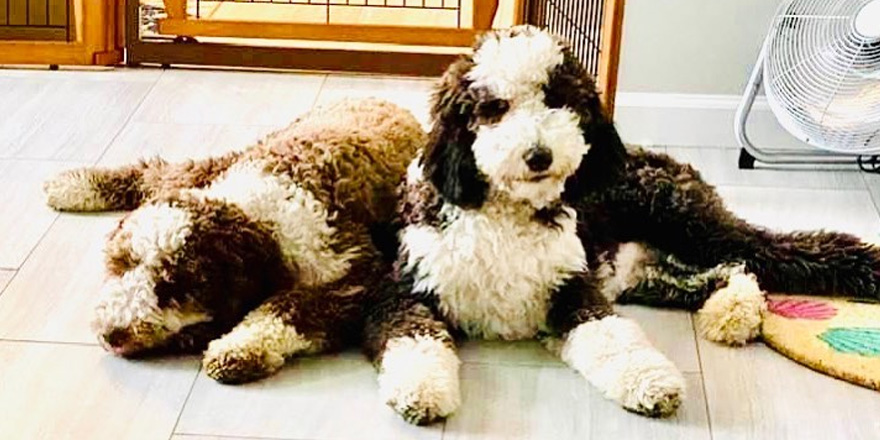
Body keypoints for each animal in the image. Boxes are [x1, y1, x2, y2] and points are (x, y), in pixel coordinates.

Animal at [43, 98, 422, 384]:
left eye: (171, 287)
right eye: (121, 264)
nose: (111, 333)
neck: (258, 210)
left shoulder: (354, 275)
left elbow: (289, 307)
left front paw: (238, 347)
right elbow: (155, 174)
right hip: (227, 160)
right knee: (159, 171)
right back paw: (73, 185)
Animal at [360, 25, 880, 424]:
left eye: (560, 100)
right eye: (494, 108)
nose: (539, 155)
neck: (506, 213)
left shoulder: (573, 286)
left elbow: (612, 337)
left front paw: (651, 380)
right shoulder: (404, 290)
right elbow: (414, 336)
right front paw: (421, 391)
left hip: (692, 225)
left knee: (773, 251)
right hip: (649, 272)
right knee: (728, 271)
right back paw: (732, 312)